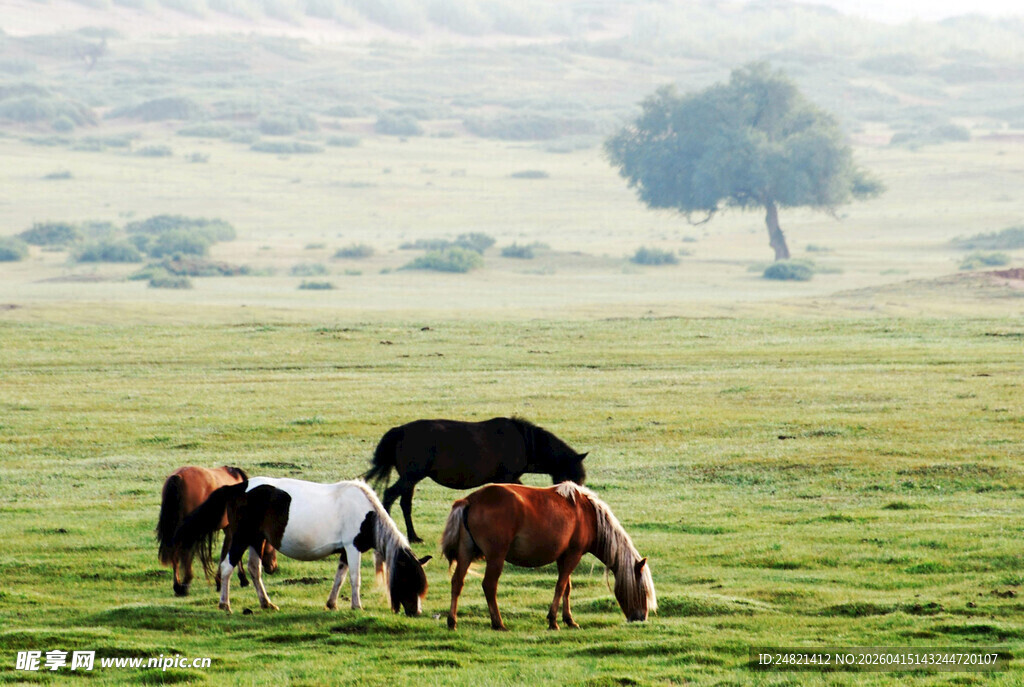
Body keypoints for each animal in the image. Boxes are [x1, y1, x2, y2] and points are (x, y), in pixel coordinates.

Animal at [155, 465, 278, 596]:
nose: (273, 567)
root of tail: (178, 477)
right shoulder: (231, 530)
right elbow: (227, 553)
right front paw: (228, 580)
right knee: (185, 552)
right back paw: (185, 583)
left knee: (175, 551)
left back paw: (177, 585)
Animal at [172, 477, 430, 615]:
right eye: (409, 580)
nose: (416, 612)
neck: (366, 513)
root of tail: (237, 487)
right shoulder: (352, 547)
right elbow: (355, 579)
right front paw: (357, 606)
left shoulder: (344, 552)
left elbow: (340, 577)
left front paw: (332, 603)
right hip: (241, 538)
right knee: (227, 567)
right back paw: (225, 605)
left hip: (257, 540)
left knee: (255, 570)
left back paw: (266, 603)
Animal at [365, 417, 587, 543]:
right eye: (572, 478)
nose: (577, 510)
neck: (524, 441)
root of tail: (400, 431)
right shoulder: (508, 477)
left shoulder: (511, 478)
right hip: (411, 476)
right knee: (390, 496)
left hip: (411, 479)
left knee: (405, 503)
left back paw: (413, 537)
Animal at [441, 482, 656, 631]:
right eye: (642, 590)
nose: (640, 618)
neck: (589, 515)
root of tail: (470, 500)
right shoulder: (573, 555)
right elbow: (560, 587)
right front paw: (553, 621)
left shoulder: (564, 556)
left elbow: (567, 588)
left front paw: (569, 620)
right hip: (496, 557)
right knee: (489, 585)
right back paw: (498, 623)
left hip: (466, 553)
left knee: (457, 582)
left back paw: (452, 621)